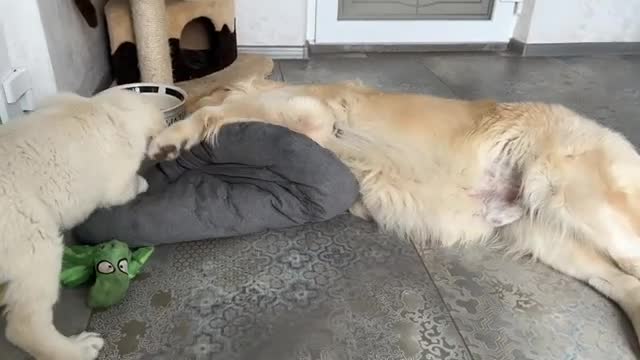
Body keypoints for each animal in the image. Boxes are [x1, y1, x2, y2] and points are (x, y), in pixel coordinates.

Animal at [0, 88, 165, 358]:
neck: (106, 109)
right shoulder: (118, 178)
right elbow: (126, 189)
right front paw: (143, 182)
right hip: (33, 238)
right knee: (25, 325)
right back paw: (79, 348)